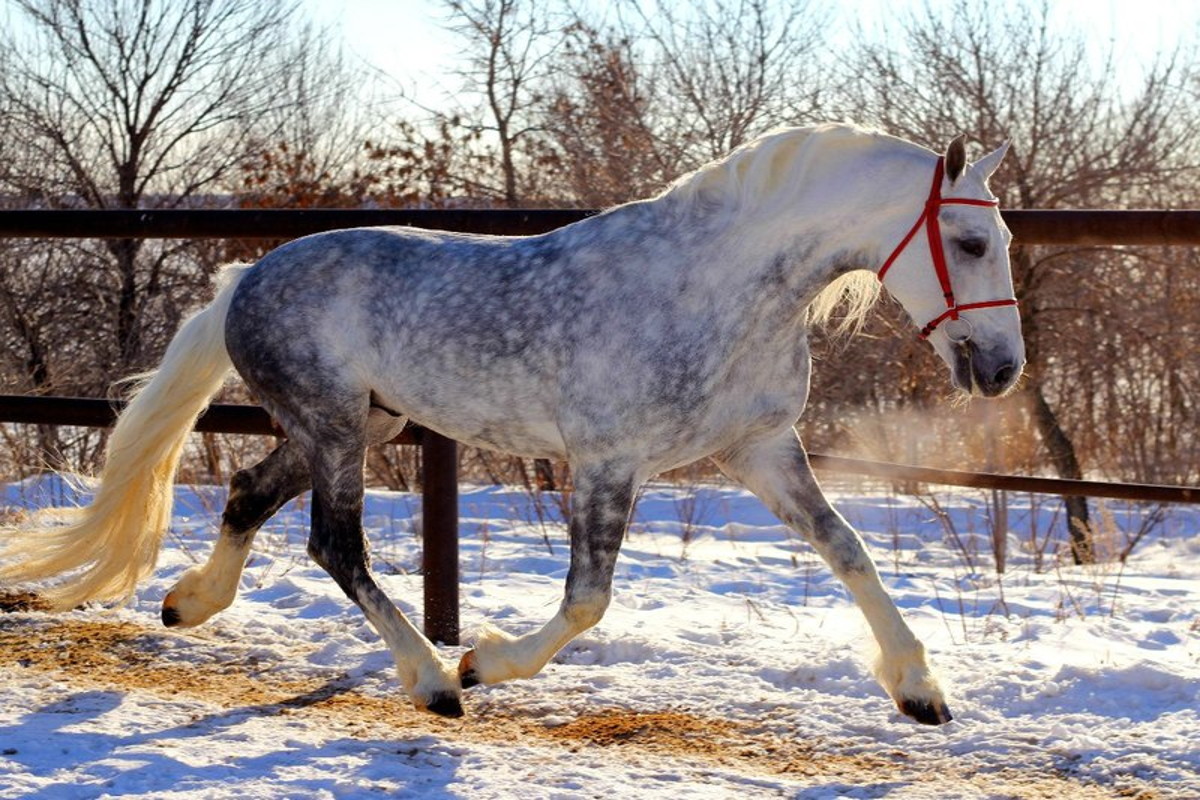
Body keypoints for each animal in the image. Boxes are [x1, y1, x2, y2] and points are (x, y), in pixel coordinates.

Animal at [0, 123, 1022, 724]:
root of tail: (246, 278)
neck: (719, 292)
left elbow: (849, 549)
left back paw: (189, 603)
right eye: (971, 241)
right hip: (334, 427)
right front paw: (484, 663)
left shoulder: (759, 450)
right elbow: (587, 600)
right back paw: (431, 680)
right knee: (335, 544)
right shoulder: (608, 462)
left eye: (1001, 240)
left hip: (358, 425)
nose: (1003, 369)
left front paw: (921, 690)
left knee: (252, 495)